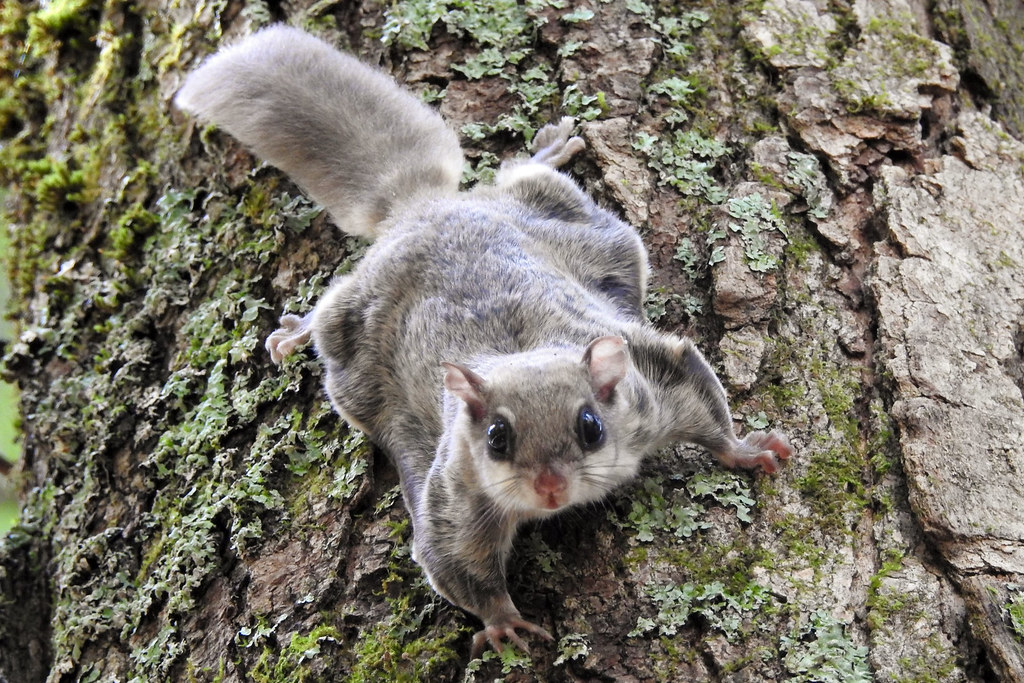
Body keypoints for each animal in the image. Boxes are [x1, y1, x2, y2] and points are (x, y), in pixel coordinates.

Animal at [174, 25, 790, 655]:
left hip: (562, 214)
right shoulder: (457, 495)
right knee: (330, 305)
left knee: (517, 174)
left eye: (591, 427)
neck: (521, 354)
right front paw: (503, 623)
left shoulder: (653, 383)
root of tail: (422, 206)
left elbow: (700, 399)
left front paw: (744, 451)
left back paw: (548, 149)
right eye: (496, 438)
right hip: (351, 320)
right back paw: (296, 332)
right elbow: (454, 563)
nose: (549, 487)